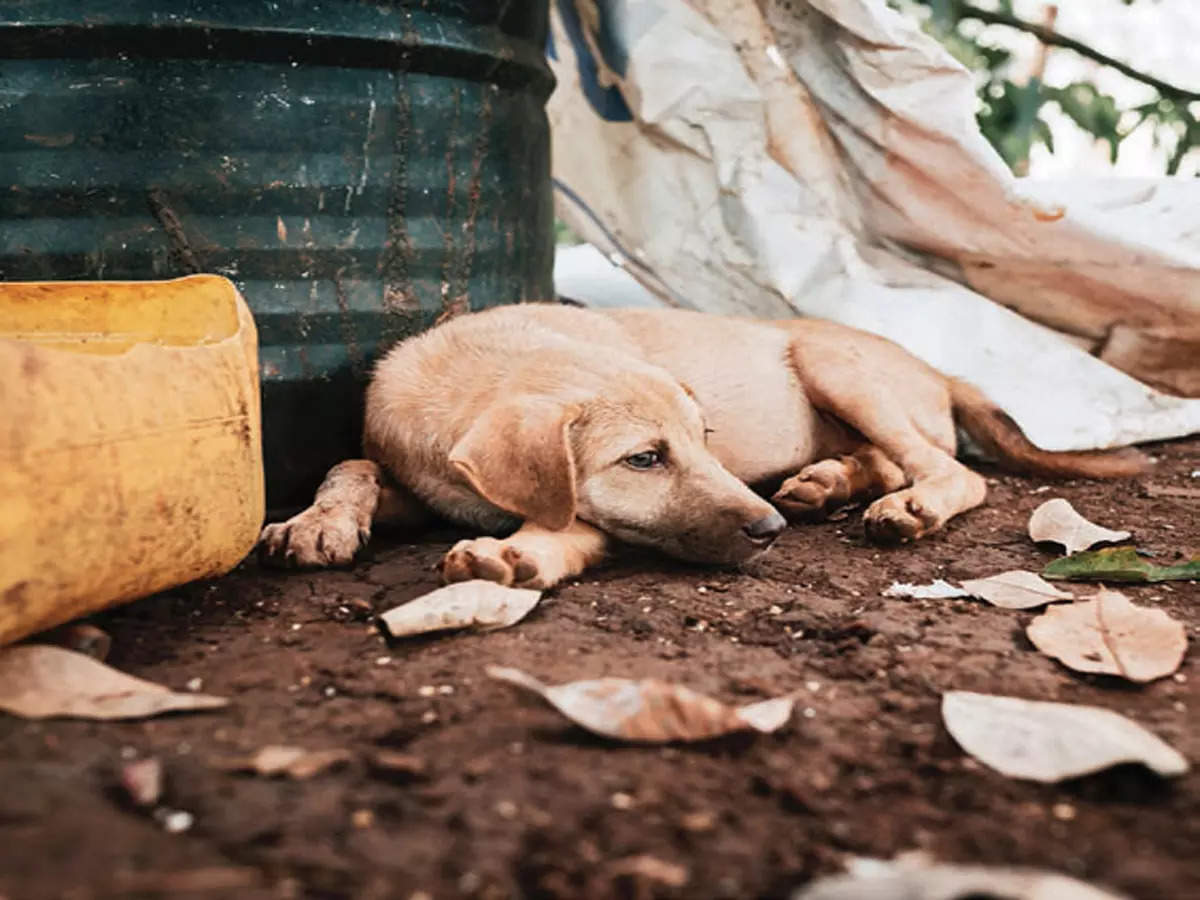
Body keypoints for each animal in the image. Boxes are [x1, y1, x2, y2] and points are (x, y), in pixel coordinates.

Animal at [260, 303, 1142, 588]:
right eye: (645, 459)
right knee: (889, 457)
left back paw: (907, 505)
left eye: (704, 441)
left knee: (951, 471)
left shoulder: (588, 516)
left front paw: (520, 553)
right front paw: (320, 521)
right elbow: (352, 462)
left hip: (832, 363)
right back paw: (826, 481)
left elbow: (565, 525)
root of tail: (938, 368)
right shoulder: (418, 476)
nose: (769, 533)